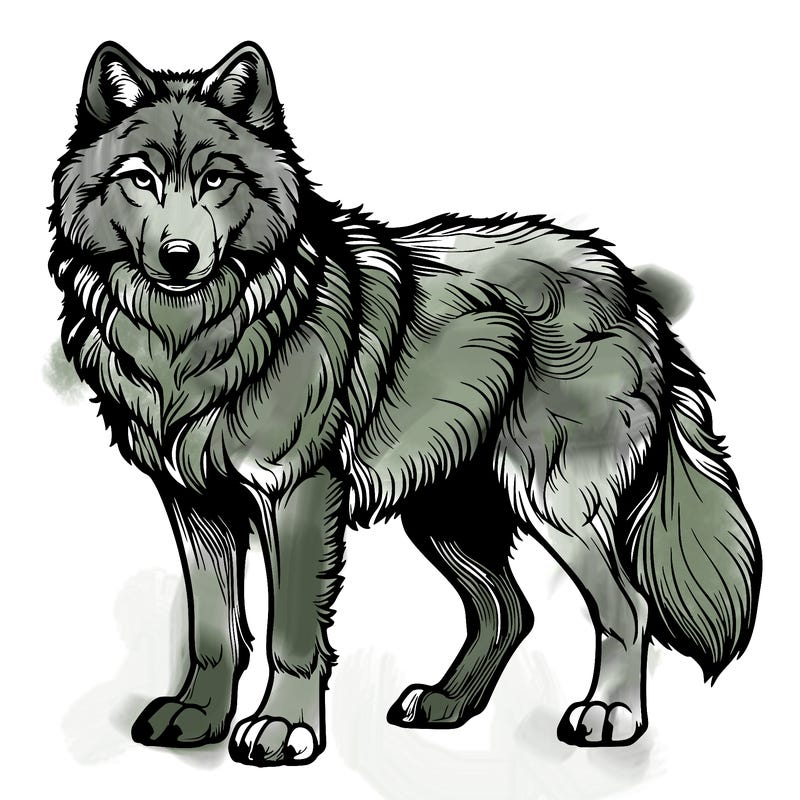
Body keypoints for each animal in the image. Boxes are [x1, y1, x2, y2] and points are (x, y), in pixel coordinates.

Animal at [50, 41, 761, 766]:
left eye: (217, 180)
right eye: (141, 179)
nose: (179, 256)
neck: (192, 337)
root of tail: (626, 284)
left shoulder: (297, 489)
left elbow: (291, 630)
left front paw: (283, 727)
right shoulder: (195, 504)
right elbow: (214, 630)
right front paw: (198, 717)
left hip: (551, 500)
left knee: (627, 607)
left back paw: (609, 715)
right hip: (443, 514)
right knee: (509, 610)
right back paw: (447, 705)